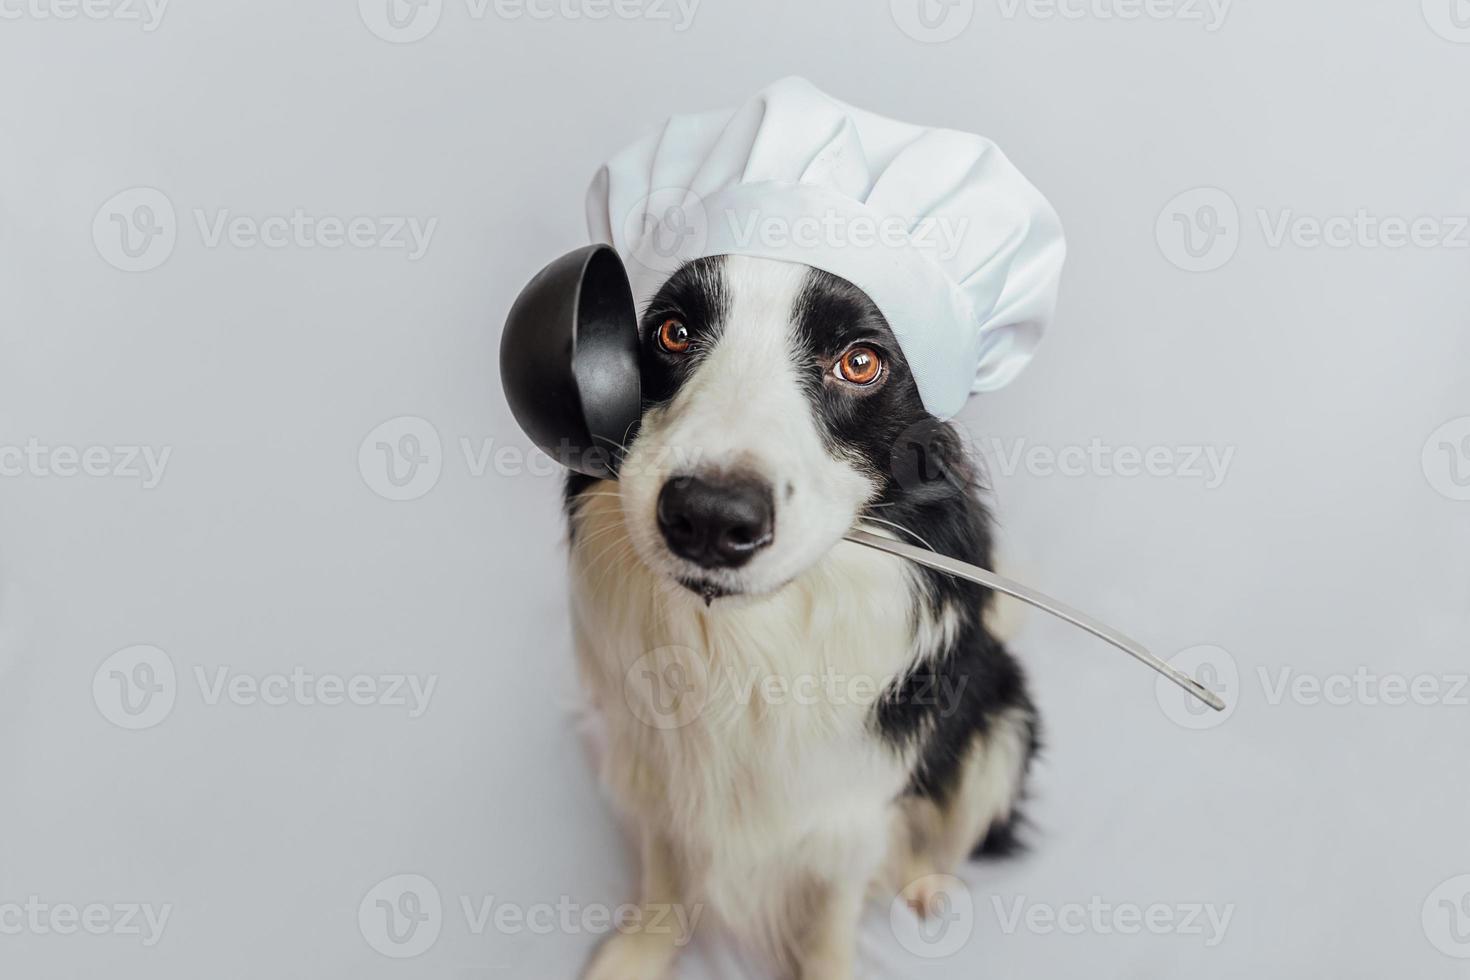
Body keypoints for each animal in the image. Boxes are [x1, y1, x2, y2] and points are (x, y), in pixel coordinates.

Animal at [567, 255, 1040, 980]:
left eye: (861, 362)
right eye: (672, 332)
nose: (709, 517)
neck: (745, 651)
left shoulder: (851, 806)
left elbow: (829, 911)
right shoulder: (655, 769)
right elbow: (667, 866)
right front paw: (638, 954)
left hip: (1003, 726)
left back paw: (926, 883)